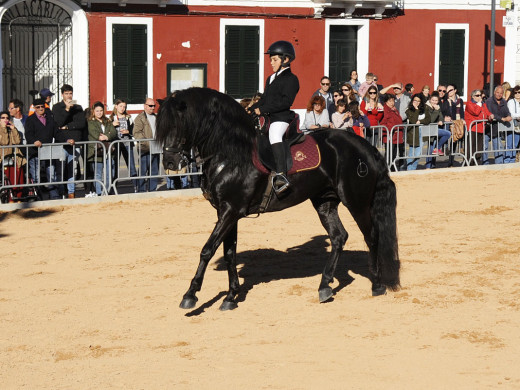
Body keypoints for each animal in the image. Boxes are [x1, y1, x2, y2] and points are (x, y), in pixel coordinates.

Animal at [156, 88, 400, 310]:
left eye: (178, 125)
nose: (169, 163)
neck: (230, 152)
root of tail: (365, 147)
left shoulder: (230, 211)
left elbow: (208, 250)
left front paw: (191, 295)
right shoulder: (227, 212)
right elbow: (229, 253)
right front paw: (231, 297)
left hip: (357, 202)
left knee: (371, 236)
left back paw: (377, 285)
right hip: (325, 202)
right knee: (339, 237)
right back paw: (324, 286)